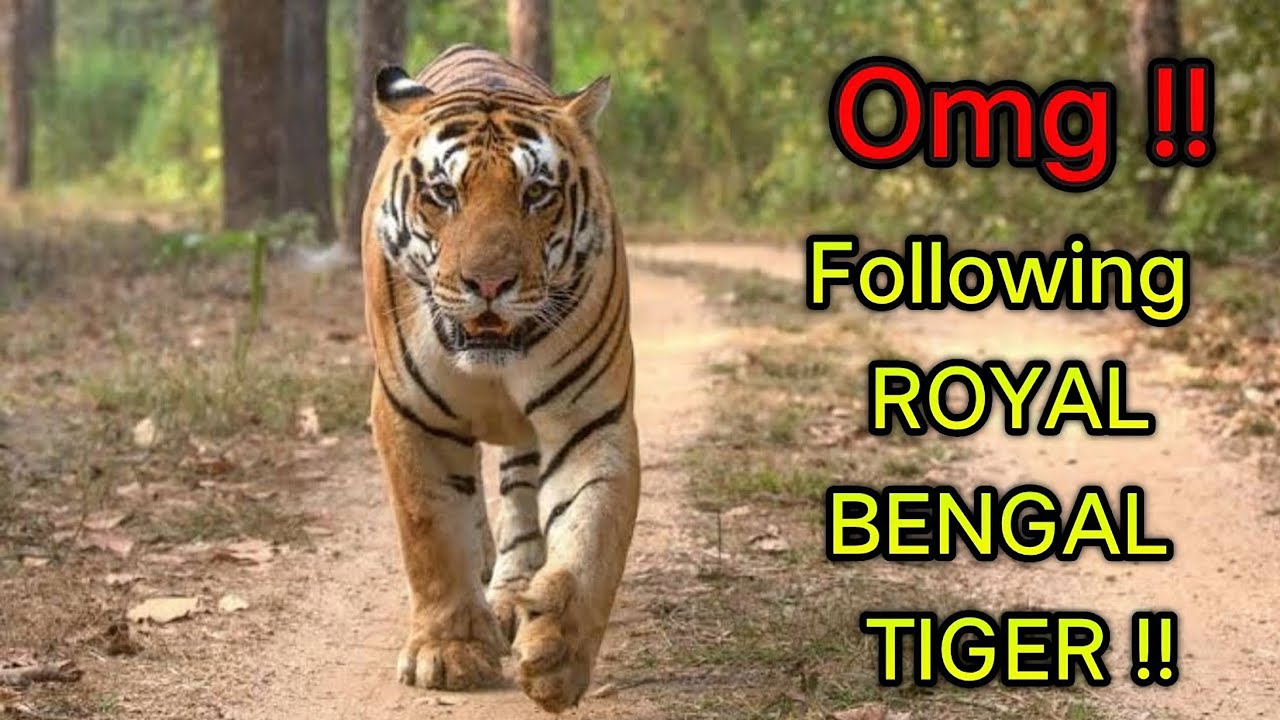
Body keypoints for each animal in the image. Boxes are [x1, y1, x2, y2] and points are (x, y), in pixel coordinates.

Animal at [360, 44, 639, 713]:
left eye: (536, 193)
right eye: (443, 193)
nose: (488, 283)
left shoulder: (592, 419)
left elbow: (592, 533)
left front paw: (559, 654)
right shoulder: (409, 416)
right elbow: (432, 533)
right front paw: (449, 652)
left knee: (517, 495)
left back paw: (514, 591)